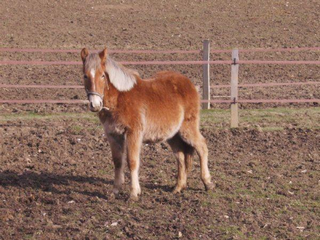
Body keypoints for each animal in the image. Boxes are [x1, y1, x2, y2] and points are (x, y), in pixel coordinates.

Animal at [79, 47, 212, 201]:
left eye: (102, 76)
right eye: (85, 76)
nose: (95, 105)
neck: (119, 98)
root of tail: (189, 84)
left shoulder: (133, 133)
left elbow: (132, 162)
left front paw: (133, 193)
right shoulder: (113, 135)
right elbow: (118, 162)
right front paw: (115, 191)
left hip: (187, 129)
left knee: (202, 146)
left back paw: (208, 183)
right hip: (172, 135)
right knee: (180, 155)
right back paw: (178, 187)